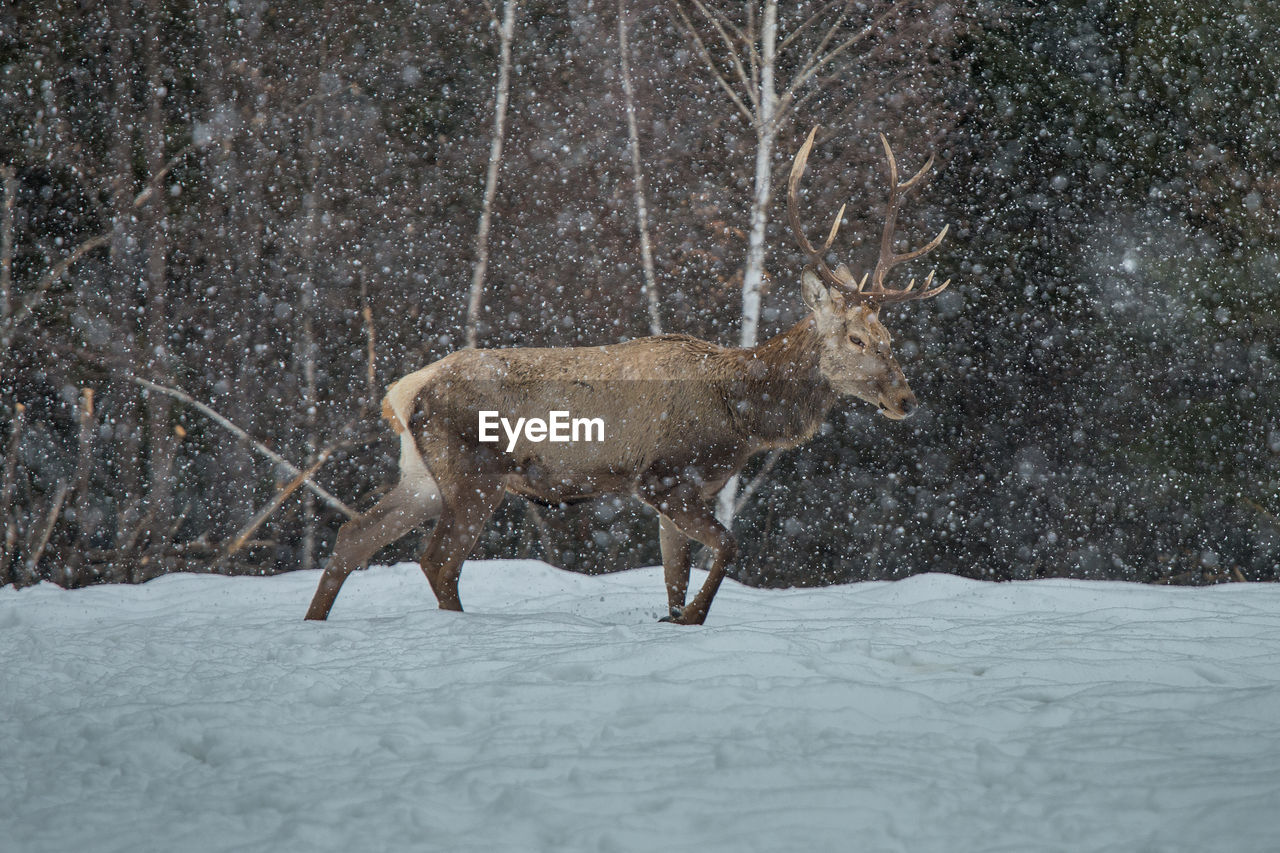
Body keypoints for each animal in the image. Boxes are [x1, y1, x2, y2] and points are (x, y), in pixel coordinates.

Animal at [307, 126, 952, 622]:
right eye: (857, 337)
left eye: (891, 339)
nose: (906, 397)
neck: (741, 413)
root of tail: (402, 392)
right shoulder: (662, 476)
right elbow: (727, 547)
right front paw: (691, 619)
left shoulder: (689, 489)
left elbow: (675, 575)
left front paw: (676, 617)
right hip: (474, 470)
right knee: (437, 559)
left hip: (423, 474)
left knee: (353, 537)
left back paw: (315, 622)